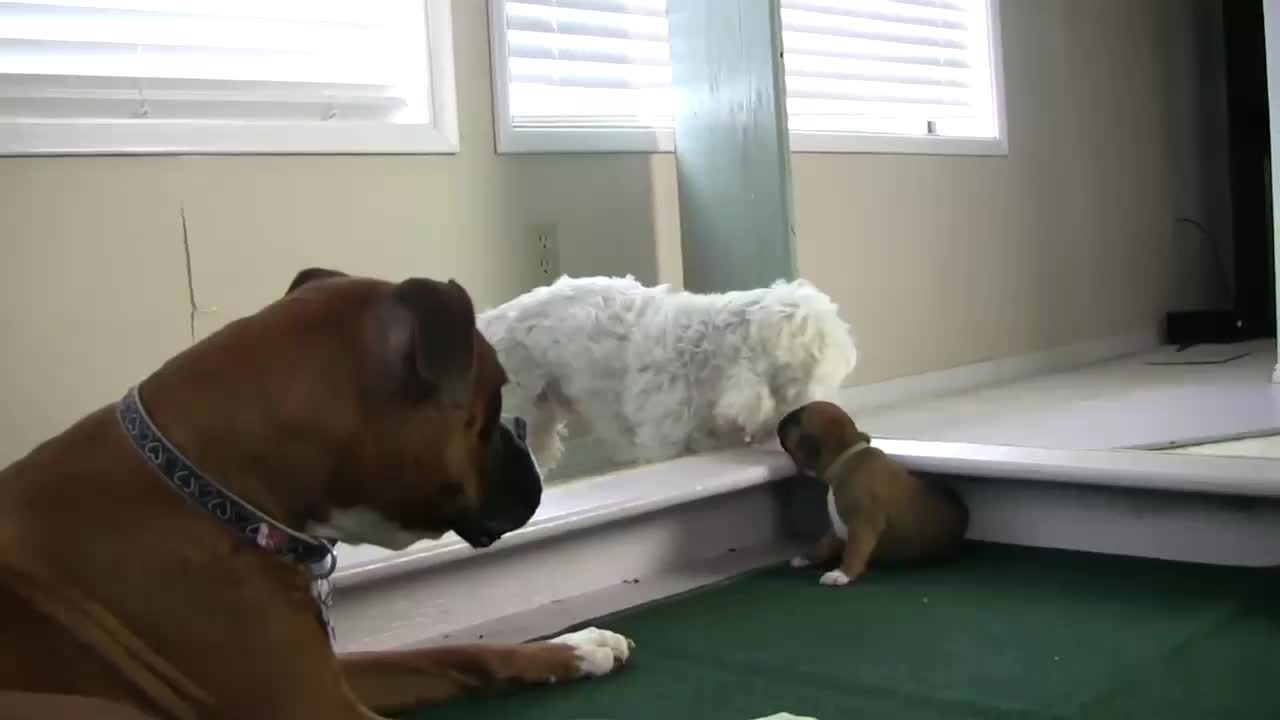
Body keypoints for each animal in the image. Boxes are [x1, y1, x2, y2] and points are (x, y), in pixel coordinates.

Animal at [0, 269, 634, 717]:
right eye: (494, 402)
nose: (522, 432)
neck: (214, 494)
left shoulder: (334, 674)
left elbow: (457, 651)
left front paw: (575, 646)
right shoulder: (319, 706)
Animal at [773, 397, 962, 584]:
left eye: (797, 420)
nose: (779, 422)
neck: (846, 457)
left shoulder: (863, 525)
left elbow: (854, 551)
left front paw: (842, 573)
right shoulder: (837, 528)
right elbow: (823, 544)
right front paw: (806, 557)